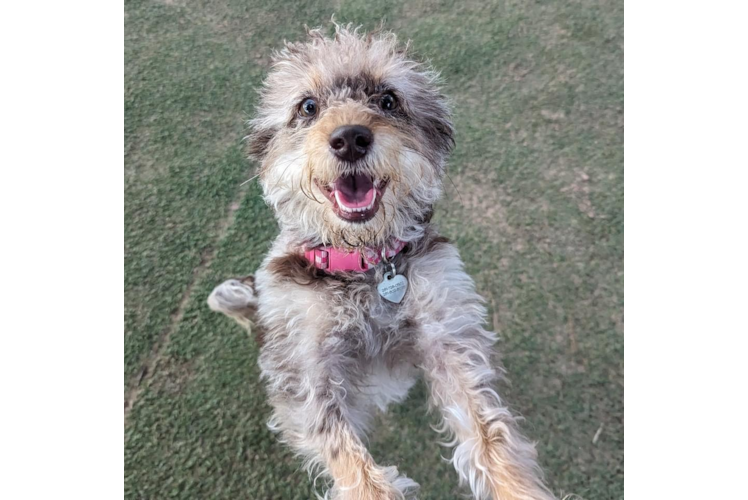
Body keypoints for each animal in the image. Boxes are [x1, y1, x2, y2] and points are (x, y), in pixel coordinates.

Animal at [209, 24, 556, 500]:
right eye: (308, 106)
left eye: (388, 100)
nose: (350, 137)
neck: (365, 265)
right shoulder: (305, 371)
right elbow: (347, 457)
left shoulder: (447, 332)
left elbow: (489, 434)